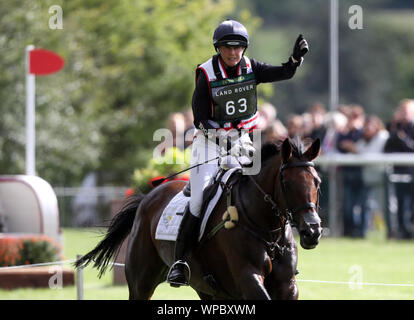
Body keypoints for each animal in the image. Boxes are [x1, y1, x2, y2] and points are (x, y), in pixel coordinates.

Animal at [77, 138, 324, 300]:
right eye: (287, 183)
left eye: (317, 182)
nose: (312, 232)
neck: (267, 231)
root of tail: (148, 197)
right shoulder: (248, 279)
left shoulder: (287, 285)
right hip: (141, 283)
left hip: (206, 288)